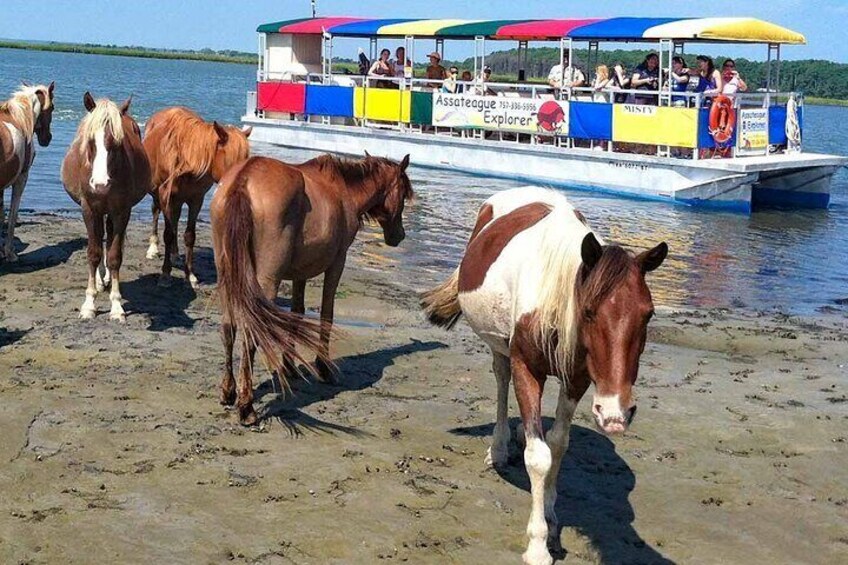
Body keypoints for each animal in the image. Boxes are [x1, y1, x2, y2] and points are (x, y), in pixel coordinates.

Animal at [0, 81, 54, 260]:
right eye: (52, 108)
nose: (47, 138)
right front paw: (9, 253)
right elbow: (12, 216)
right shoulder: (21, 178)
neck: (19, 119)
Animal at [60, 93, 152, 322]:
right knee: (101, 238)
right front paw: (89, 304)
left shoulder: (121, 211)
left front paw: (117, 306)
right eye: (90, 141)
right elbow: (93, 253)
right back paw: (101, 281)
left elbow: (114, 255)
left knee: (109, 239)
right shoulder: (89, 210)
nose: (100, 185)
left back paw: (108, 279)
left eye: (118, 142)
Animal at [143, 107, 252, 286]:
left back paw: (175, 253)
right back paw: (153, 248)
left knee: (174, 221)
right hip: (160, 196)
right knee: (156, 212)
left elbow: (189, 236)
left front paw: (190, 274)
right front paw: (165, 274)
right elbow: (168, 234)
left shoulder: (196, 200)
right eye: (233, 161)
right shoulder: (167, 197)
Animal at [210, 153, 412, 424]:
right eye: (403, 194)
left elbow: (296, 315)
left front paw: (289, 367)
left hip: (227, 275)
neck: (343, 190)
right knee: (252, 332)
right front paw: (324, 367)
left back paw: (229, 392)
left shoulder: (300, 274)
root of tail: (244, 178)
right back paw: (246, 407)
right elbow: (327, 313)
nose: (398, 236)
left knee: (228, 327)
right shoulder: (337, 263)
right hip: (266, 281)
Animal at [420, 186, 664, 564]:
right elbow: (538, 458)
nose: (615, 414)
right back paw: (499, 447)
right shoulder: (527, 369)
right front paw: (537, 544)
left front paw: (549, 511)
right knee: (502, 381)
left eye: (648, 314)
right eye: (589, 311)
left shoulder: (577, 379)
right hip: (500, 348)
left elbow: (558, 444)